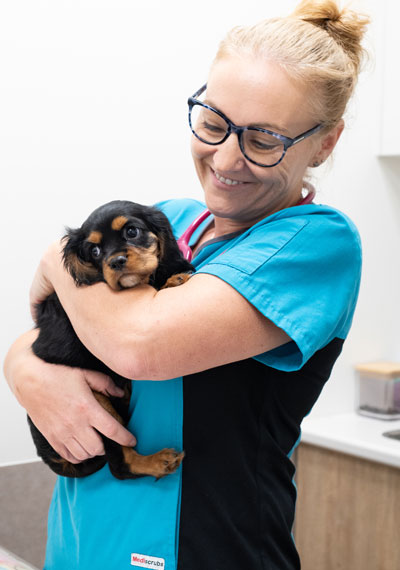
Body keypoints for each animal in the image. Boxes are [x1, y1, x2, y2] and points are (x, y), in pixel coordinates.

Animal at [28, 200, 193, 480]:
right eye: (94, 250)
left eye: (132, 232)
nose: (115, 261)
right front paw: (173, 281)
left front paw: (170, 277)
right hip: (96, 404)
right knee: (119, 465)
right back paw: (157, 461)